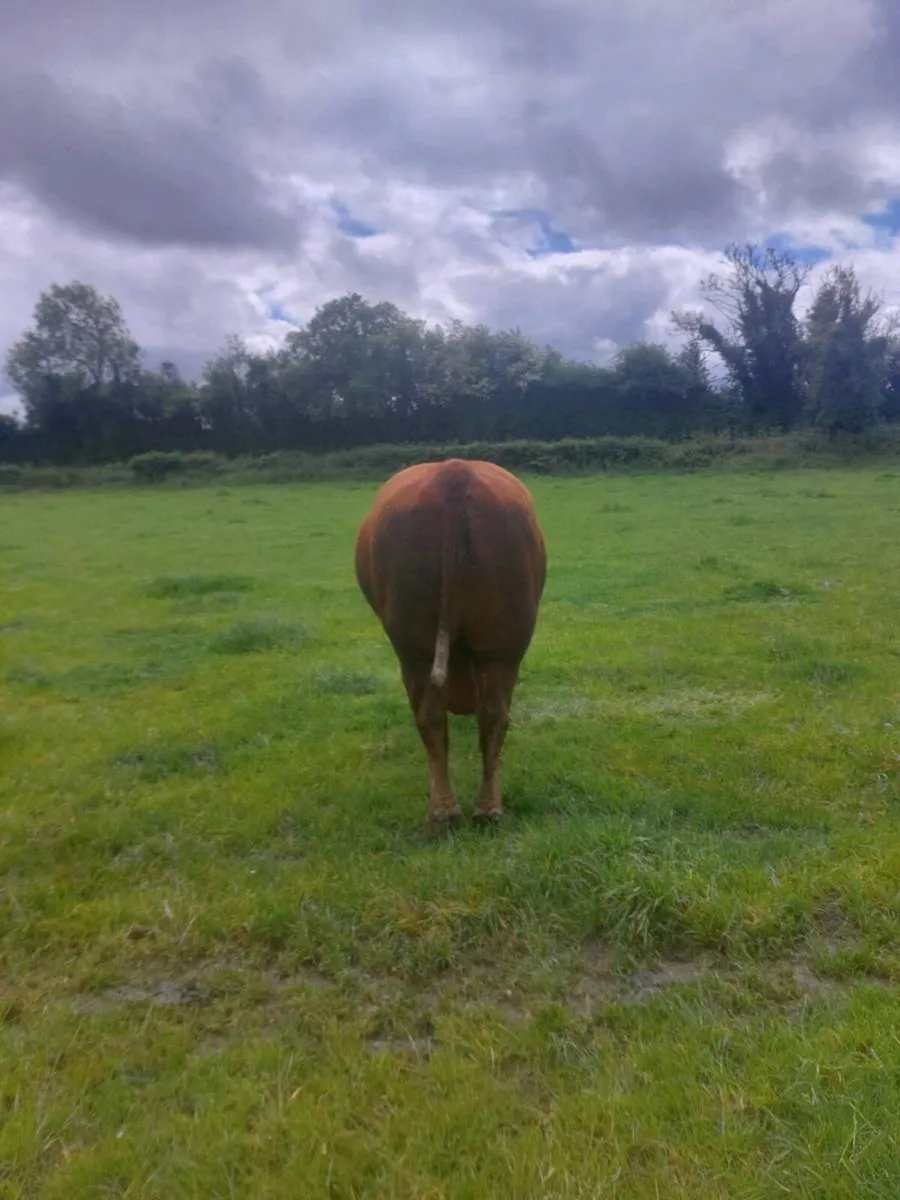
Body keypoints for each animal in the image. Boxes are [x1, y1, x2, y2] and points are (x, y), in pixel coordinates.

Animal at [354, 457, 547, 829]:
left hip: (419, 650)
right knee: (491, 714)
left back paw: (445, 809)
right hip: (498, 648)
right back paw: (482, 808)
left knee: (434, 715)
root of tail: (454, 471)